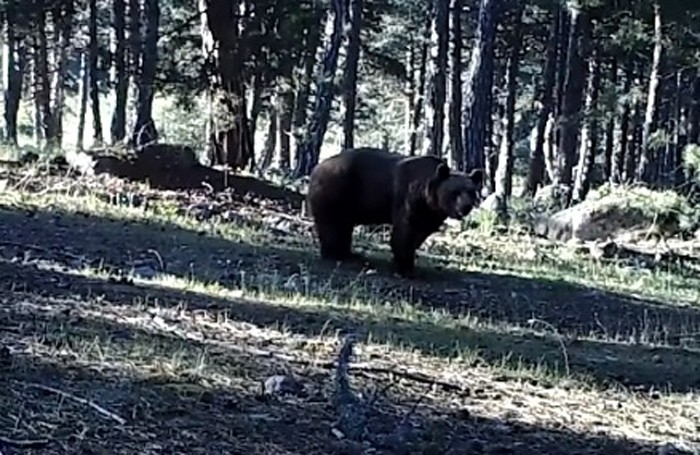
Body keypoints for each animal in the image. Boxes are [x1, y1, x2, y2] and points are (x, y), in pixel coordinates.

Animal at [308, 149, 484, 278]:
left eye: (471, 191)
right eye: (455, 192)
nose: (466, 206)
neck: (428, 196)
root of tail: (316, 168)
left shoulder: (430, 214)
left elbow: (419, 233)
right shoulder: (408, 198)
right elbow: (405, 231)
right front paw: (405, 267)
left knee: (343, 226)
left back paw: (349, 253)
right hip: (337, 190)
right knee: (332, 224)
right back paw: (335, 254)